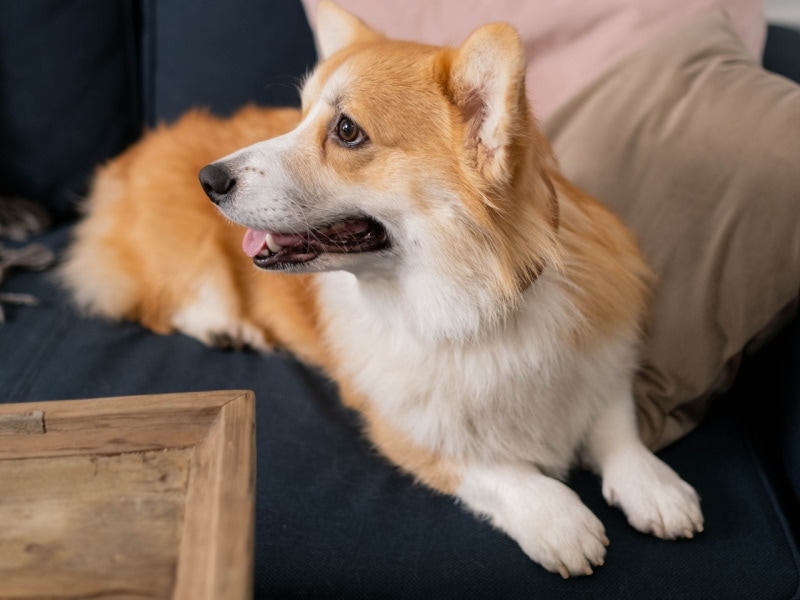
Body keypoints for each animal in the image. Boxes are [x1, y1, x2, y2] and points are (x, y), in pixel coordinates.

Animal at [61, 2, 700, 580]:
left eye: (347, 131)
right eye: (298, 115)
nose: (209, 180)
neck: (470, 303)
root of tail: (133, 155)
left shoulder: (603, 356)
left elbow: (614, 419)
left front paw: (654, 484)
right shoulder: (405, 428)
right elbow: (493, 468)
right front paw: (558, 520)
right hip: (182, 248)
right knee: (163, 298)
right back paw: (223, 324)